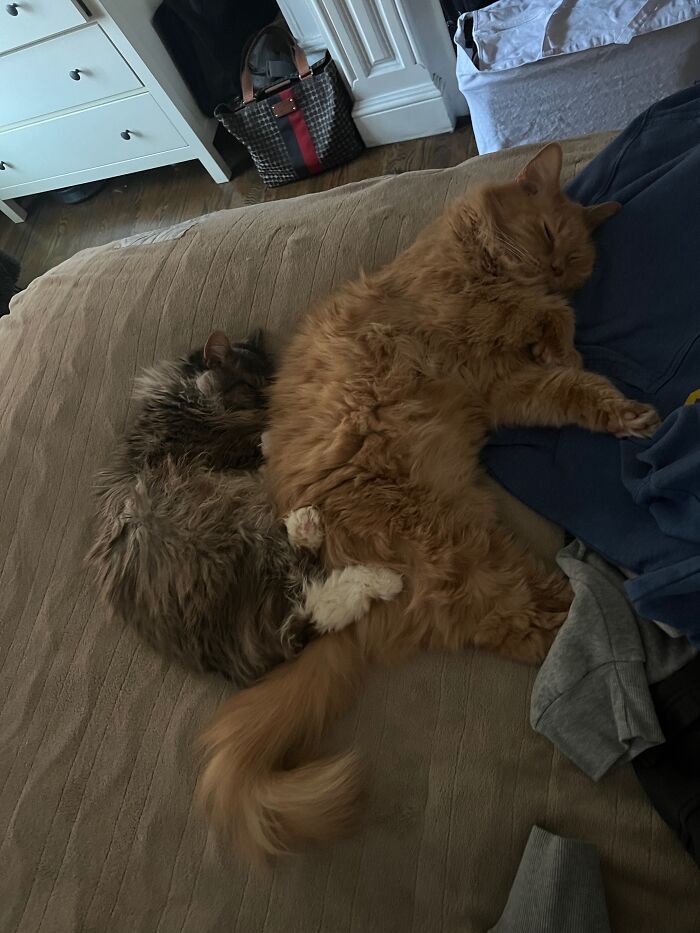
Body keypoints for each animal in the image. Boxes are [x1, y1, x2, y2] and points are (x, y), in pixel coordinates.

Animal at [87, 328, 402, 684]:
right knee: (305, 604)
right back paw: (378, 575)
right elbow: (258, 443)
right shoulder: (219, 453)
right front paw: (273, 434)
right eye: (253, 388)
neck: (186, 394)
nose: (272, 405)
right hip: (241, 530)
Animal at [196, 142, 660, 856]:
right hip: (470, 557)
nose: (557, 271)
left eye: (578, 263)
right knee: (540, 626)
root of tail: (338, 602)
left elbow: (571, 386)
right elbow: (549, 320)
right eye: (549, 236)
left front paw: (618, 407)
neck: (467, 256)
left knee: (525, 631)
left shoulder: (507, 386)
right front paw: (565, 338)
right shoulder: (473, 315)